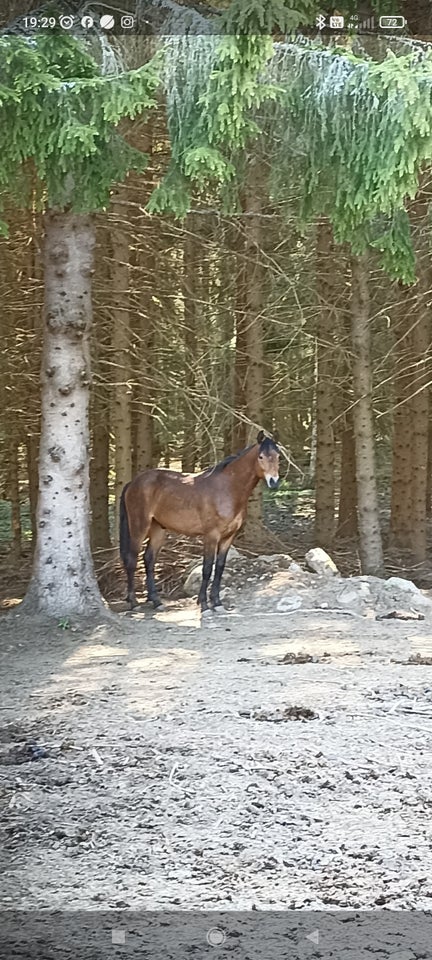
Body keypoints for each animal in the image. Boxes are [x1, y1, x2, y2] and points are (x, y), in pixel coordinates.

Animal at [119, 432, 280, 612]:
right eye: (261, 456)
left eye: (278, 456)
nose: (274, 482)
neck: (227, 489)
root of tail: (133, 483)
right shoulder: (211, 536)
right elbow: (207, 568)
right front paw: (203, 603)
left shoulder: (228, 537)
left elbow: (219, 568)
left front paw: (217, 601)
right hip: (139, 527)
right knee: (132, 559)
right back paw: (133, 602)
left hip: (158, 529)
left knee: (148, 559)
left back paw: (156, 601)